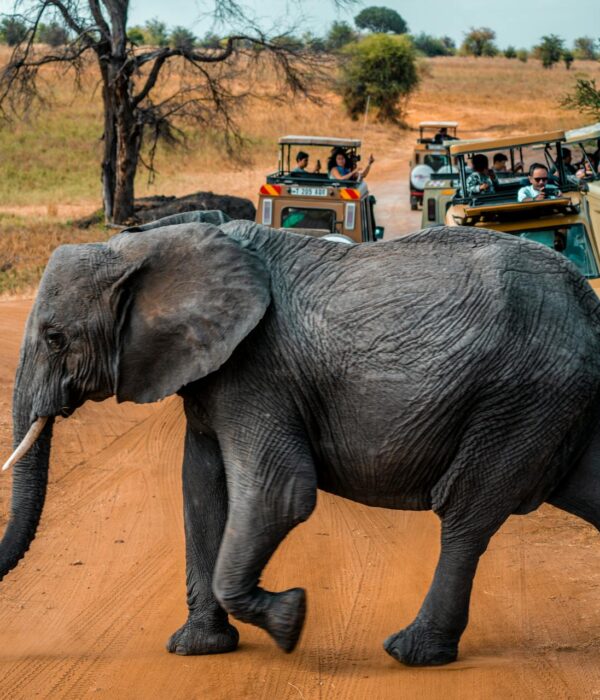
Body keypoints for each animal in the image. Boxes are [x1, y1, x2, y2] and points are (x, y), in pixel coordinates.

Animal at [1, 219, 600, 668]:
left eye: (56, 338)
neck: (153, 243)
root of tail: (587, 304)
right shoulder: (213, 371)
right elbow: (200, 489)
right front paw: (198, 649)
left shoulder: (258, 369)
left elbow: (279, 494)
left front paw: (290, 620)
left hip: (521, 396)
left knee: (466, 513)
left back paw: (411, 653)